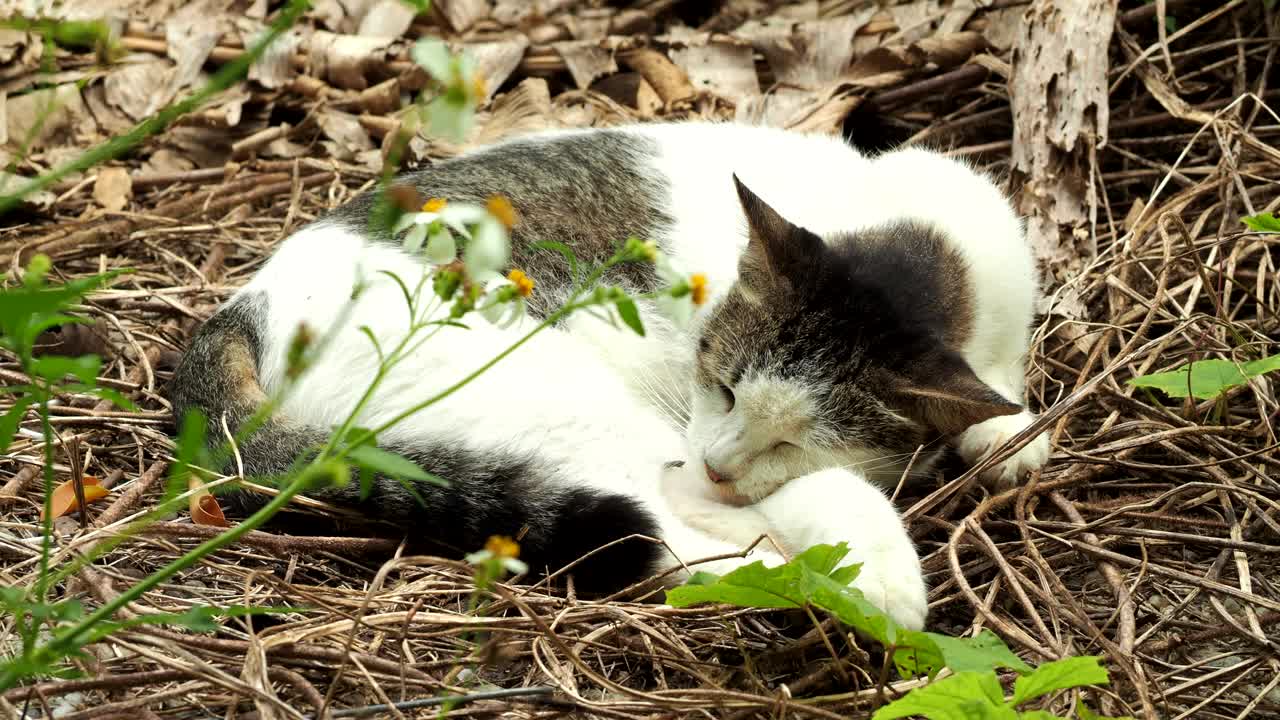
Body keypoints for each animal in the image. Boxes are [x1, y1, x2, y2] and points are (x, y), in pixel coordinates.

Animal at [167, 119, 1049, 627]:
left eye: (797, 436)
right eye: (721, 384)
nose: (722, 462)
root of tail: (241, 308)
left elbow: (996, 376)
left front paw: (1012, 425)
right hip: (564, 391)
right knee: (665, 526)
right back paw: (847, 579)